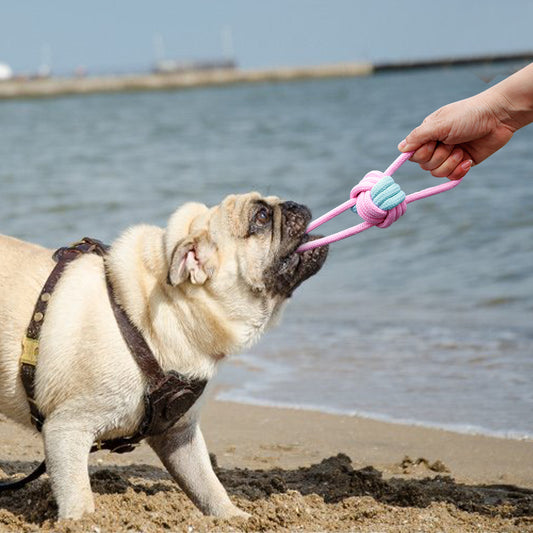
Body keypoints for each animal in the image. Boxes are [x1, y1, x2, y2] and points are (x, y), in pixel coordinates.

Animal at [0, 192, 326, 520]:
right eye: (261, 217)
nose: (293, 205)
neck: (153, 311)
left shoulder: (178, 435)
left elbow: (207, 484)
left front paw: (235, 518)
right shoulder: (67, 429)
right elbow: (78, 495)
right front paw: (83, 522)